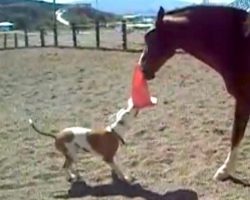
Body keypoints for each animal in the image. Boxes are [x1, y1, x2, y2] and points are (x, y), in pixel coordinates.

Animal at [140, 5, 250, 181]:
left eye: (150, 39)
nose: (142, 69)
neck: (238, 41)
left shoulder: (243, 100)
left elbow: (236, 135)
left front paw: (225, 171)